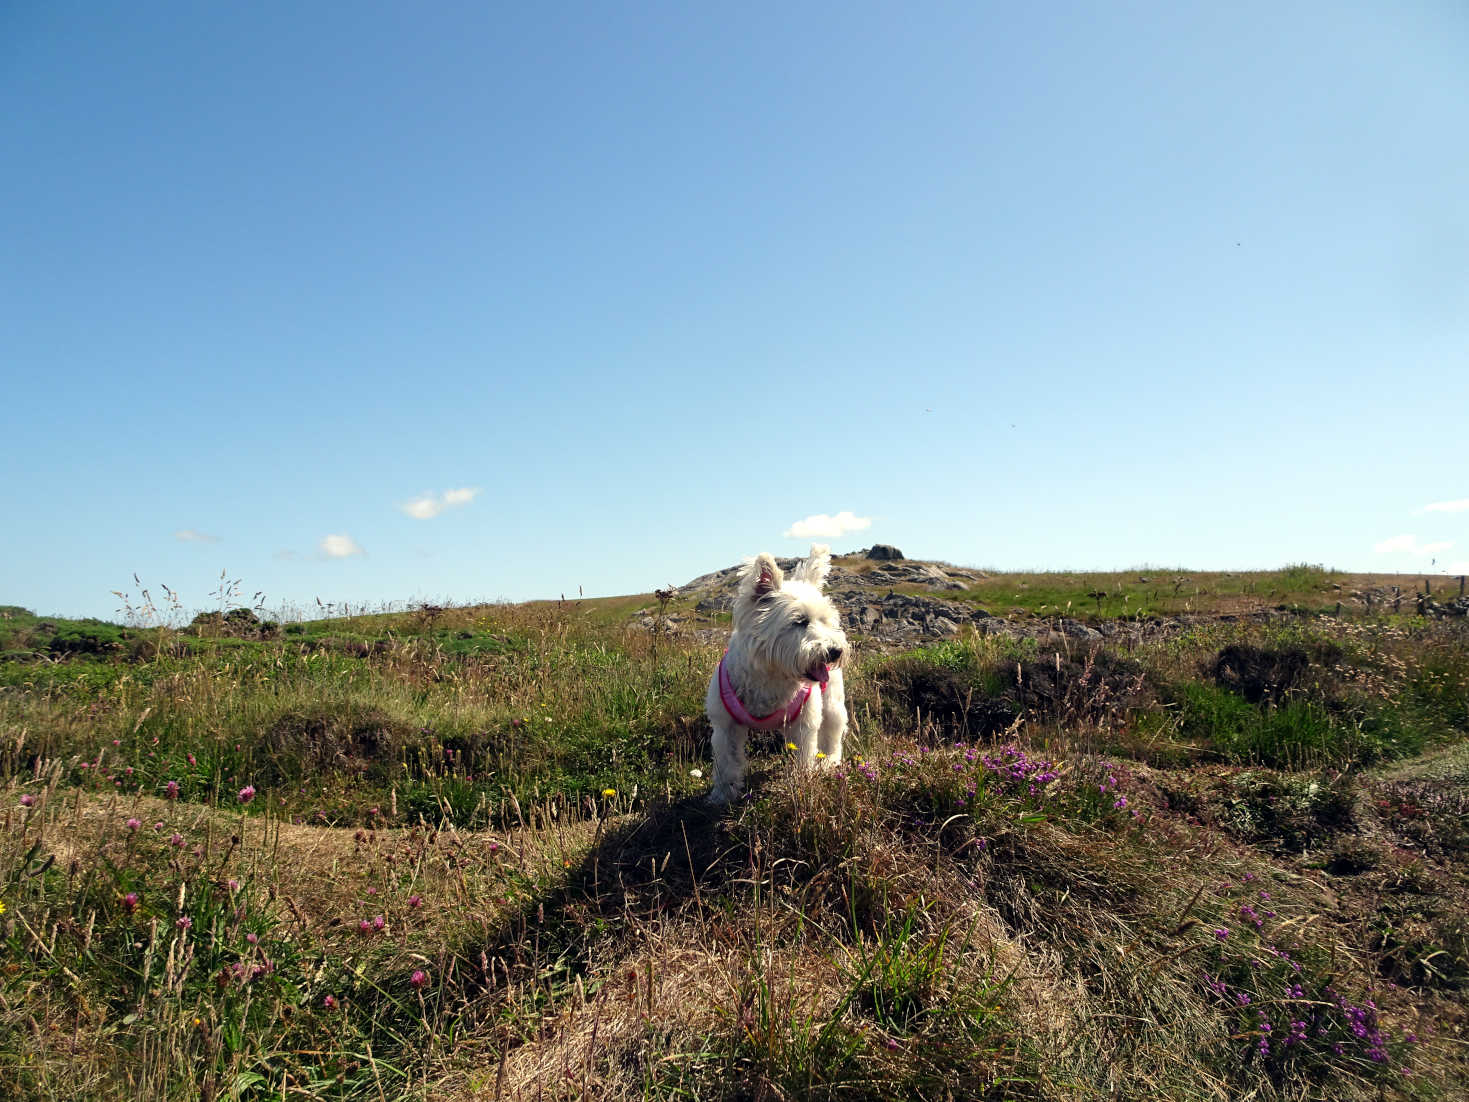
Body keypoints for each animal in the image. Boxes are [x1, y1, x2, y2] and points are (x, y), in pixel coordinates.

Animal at [702, 543, 846, 805]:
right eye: (800, 621)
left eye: (825, 620)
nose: (835, 651)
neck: (772, 675)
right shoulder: (725, 726)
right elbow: (726, 763)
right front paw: (722, 796)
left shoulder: (804, 724)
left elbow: (804, 756)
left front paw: (803, 784)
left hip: (832, 702)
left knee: (833, 733)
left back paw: (830, 762)